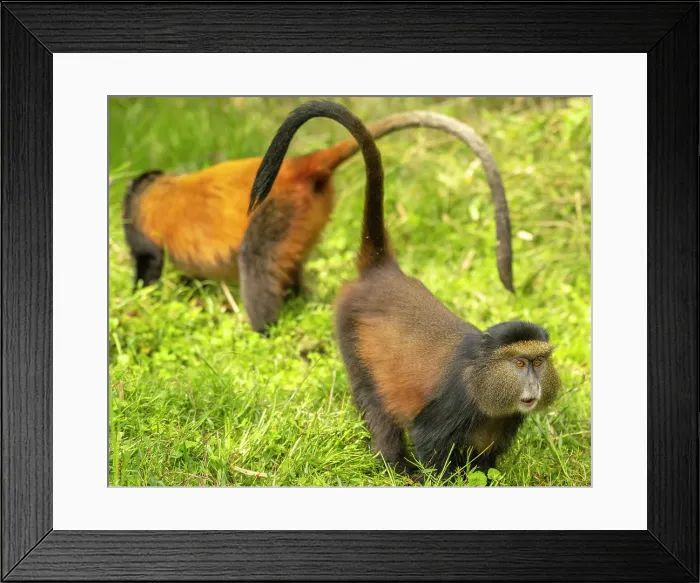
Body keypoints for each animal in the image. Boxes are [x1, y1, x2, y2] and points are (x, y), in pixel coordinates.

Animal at [122, 107, 513, 333]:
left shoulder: (136, 215)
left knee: (256, 257)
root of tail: (298, 166)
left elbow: (149, 261)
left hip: (278, 207)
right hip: (302, 214)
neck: (156, 184)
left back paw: (263, 331)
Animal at [248, 100, 562, 476]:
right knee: (374, 402)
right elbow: (429, 442)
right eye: (519, 364)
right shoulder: (453, 403)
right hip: (351, 340)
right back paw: (394, 464)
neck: (482, 373)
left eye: (538, 362)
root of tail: (382, 271)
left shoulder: (504, 418)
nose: (533, 385)